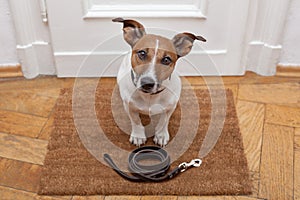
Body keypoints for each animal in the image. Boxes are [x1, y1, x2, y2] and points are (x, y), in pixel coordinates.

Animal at [113, 18, 206, 146]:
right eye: (142, 53)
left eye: (166, 60)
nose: (147, 83)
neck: (150, 97)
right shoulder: (129, 106)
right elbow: (136, 120)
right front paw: (138, 135)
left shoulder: (170, 107)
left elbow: (164, 121)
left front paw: (161, 135)